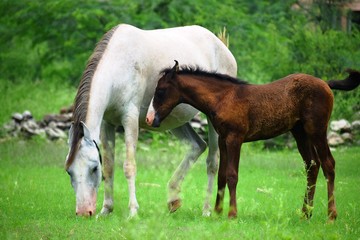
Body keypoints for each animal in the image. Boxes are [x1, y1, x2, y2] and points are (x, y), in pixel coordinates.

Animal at [65, 23, 238, 218]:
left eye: (94, 168)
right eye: (69, 171)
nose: (83, 211)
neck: (119, 65)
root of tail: (221, 46)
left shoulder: (129, 119)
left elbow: (129, 166)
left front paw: (133, 211)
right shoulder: (107, 124)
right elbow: (109, 167)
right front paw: (106, 209)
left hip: (210, 121)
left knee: (212, 162)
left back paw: (206, 210)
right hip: (174, 120)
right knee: (197, 145)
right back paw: (173, 198)